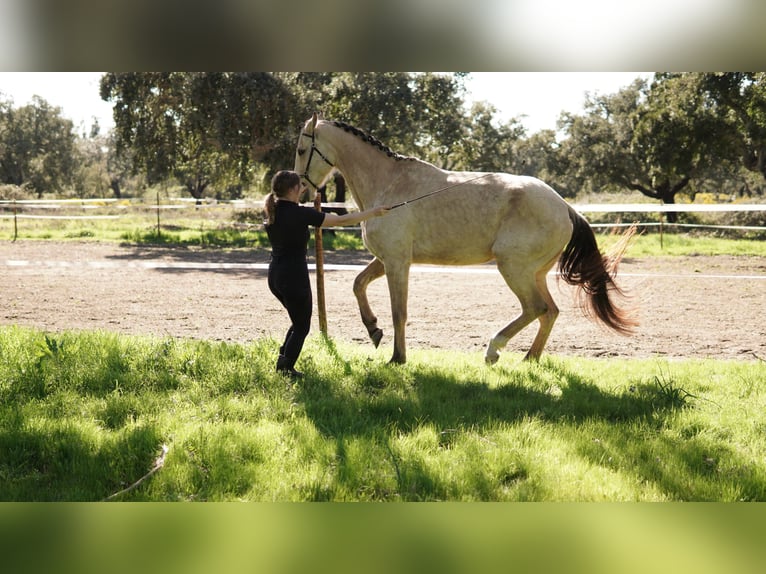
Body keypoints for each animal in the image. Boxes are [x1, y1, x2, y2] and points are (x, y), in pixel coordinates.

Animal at [294, 112, 637, 365]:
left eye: (301, 150)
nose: (300, 187)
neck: (390, 185)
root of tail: (564, 206)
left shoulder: (397, 263)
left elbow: (399, 312)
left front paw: (397, 358)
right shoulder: (387, 260)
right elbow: (358, 284)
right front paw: (373, 330)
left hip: (513, 268)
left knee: (535, 308)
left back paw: (493, 349)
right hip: (535, 273)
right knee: (549, 311)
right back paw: (529, 359)